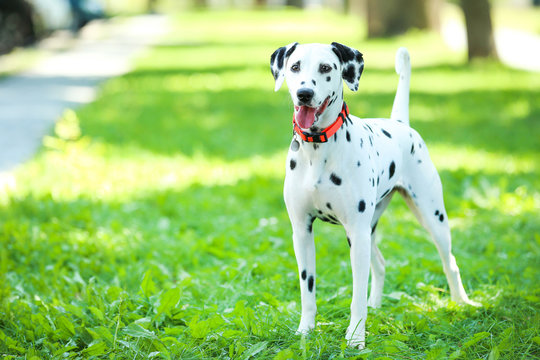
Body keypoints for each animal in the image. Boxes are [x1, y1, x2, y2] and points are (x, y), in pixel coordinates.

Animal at [270, 43, 476, 348]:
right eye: (295, 67)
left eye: (325, 67)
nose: (304, 93)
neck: (318, 151)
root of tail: (400, 122)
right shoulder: (302, 232)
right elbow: (308, 290)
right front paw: (305, 331)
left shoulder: (356, 232)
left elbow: (356, 295)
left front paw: (355, 337)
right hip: (369, 229)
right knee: (379, 263)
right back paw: (376, 305)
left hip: (431, 218)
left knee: (449, 261)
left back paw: (460, 302)